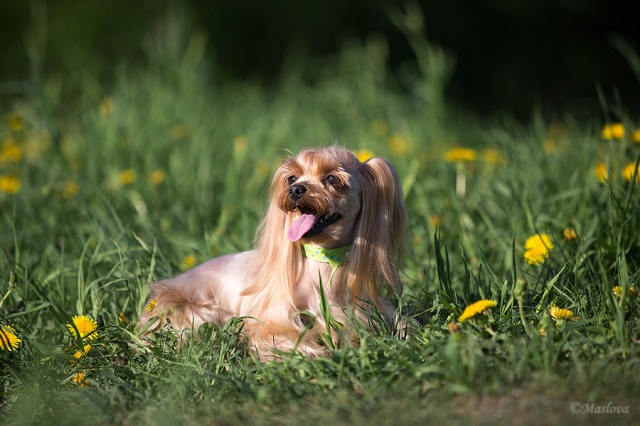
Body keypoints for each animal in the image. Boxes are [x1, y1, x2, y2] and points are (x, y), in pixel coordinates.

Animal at [139, 146, 404, 360]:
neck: (322, 259)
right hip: (190, 308)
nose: (296, 190)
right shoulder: (272, 320)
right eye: (291, 177)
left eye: (331, 178)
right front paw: (319, 354)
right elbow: (279, 336)